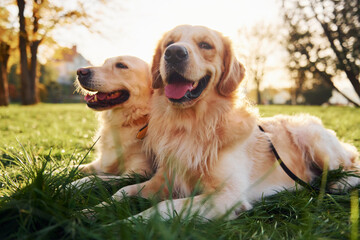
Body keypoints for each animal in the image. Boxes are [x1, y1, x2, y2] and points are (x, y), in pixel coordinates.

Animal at [94, 25, 358, 220]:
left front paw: (120, 224)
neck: (192, 124)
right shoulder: (162, 179)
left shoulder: (226, 196)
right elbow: (121, 192)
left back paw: (340, 183)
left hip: (315, 141)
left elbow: (160, 209)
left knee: (353, 166)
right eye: (169, 43)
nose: (174, 53)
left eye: (206, 45)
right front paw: (89, 213)